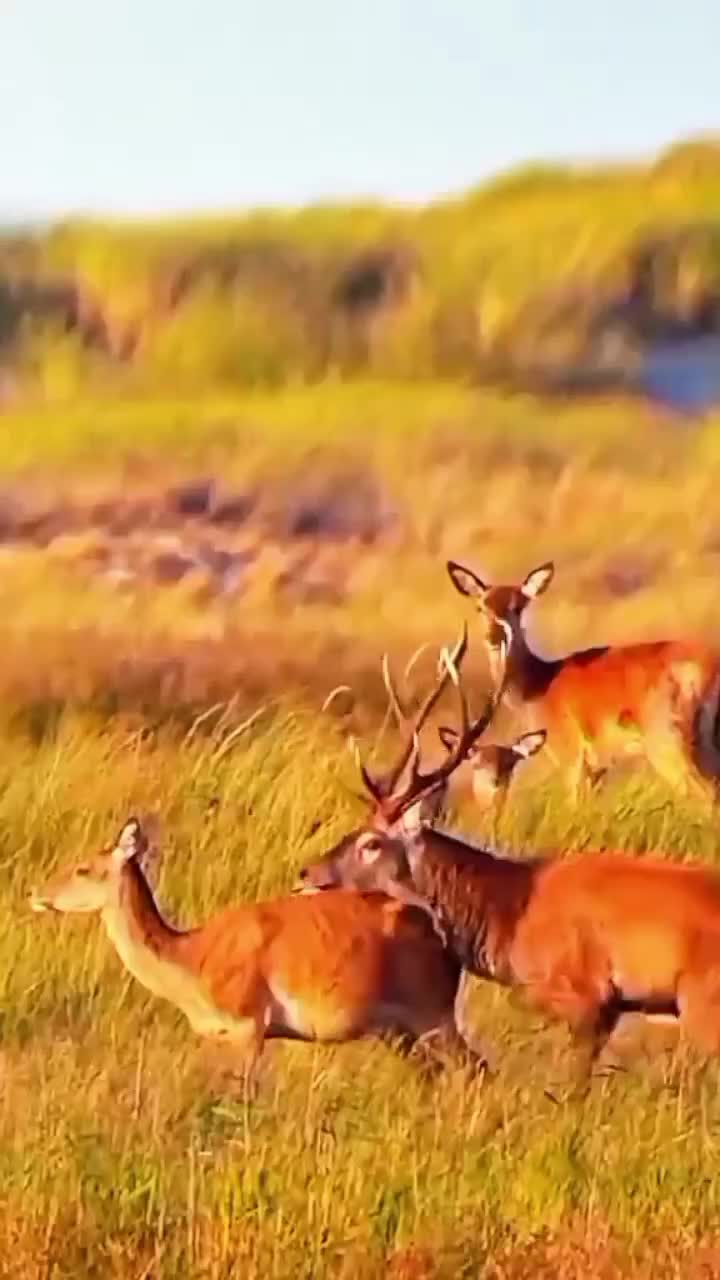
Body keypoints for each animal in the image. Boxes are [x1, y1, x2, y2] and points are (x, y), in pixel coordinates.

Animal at [29, 816, 485, 1086]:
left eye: (84, 867)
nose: (36, 894)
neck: (192, 954)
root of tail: (443, 937)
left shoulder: (250, 1029)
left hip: (435, 1022)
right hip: (401, 1034)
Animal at [446, 558, 720, 801]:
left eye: (518, 607)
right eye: (480, 607)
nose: (493, 637)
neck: (538, 689)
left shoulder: (571, 758)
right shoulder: (597, 767)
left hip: (669, 741)